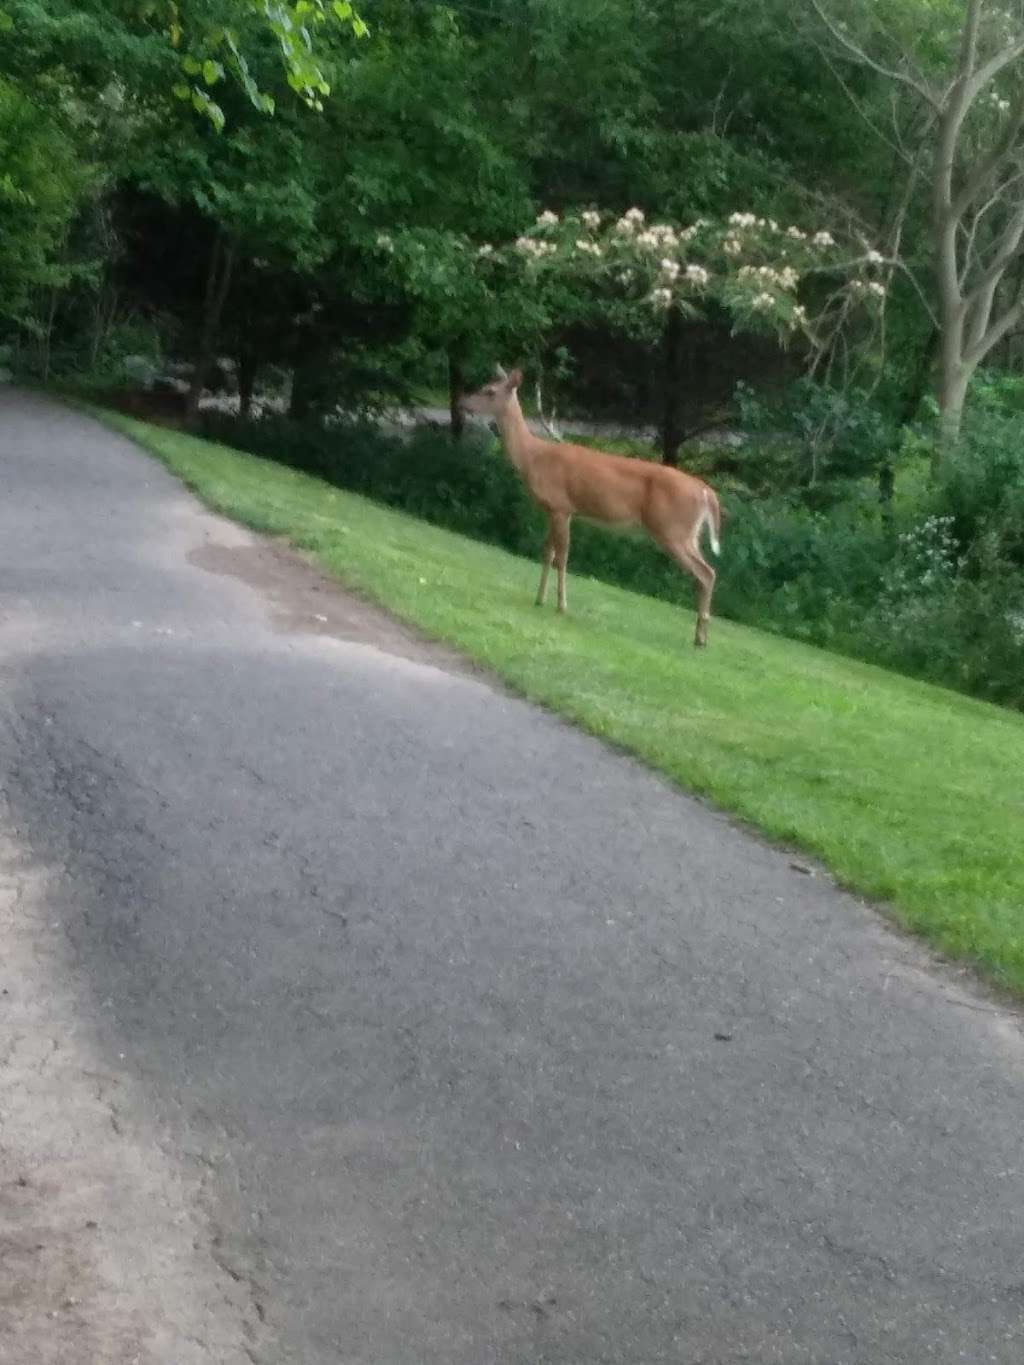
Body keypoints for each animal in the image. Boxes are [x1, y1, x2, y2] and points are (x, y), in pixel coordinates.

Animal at [461, 365, 726, 647]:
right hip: (689, 534)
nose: (462, 402)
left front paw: (561, 606)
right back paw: (700, 634)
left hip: (672, 530)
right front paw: (539, 599)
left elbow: (562, 557)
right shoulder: (551, 510)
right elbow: (547, 553)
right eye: (485, 385)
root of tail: (707, 492)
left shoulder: (562, 507)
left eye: (489, 391)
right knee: (705, 573)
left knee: (706, 573)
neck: (533, 457)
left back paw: (701, 638)